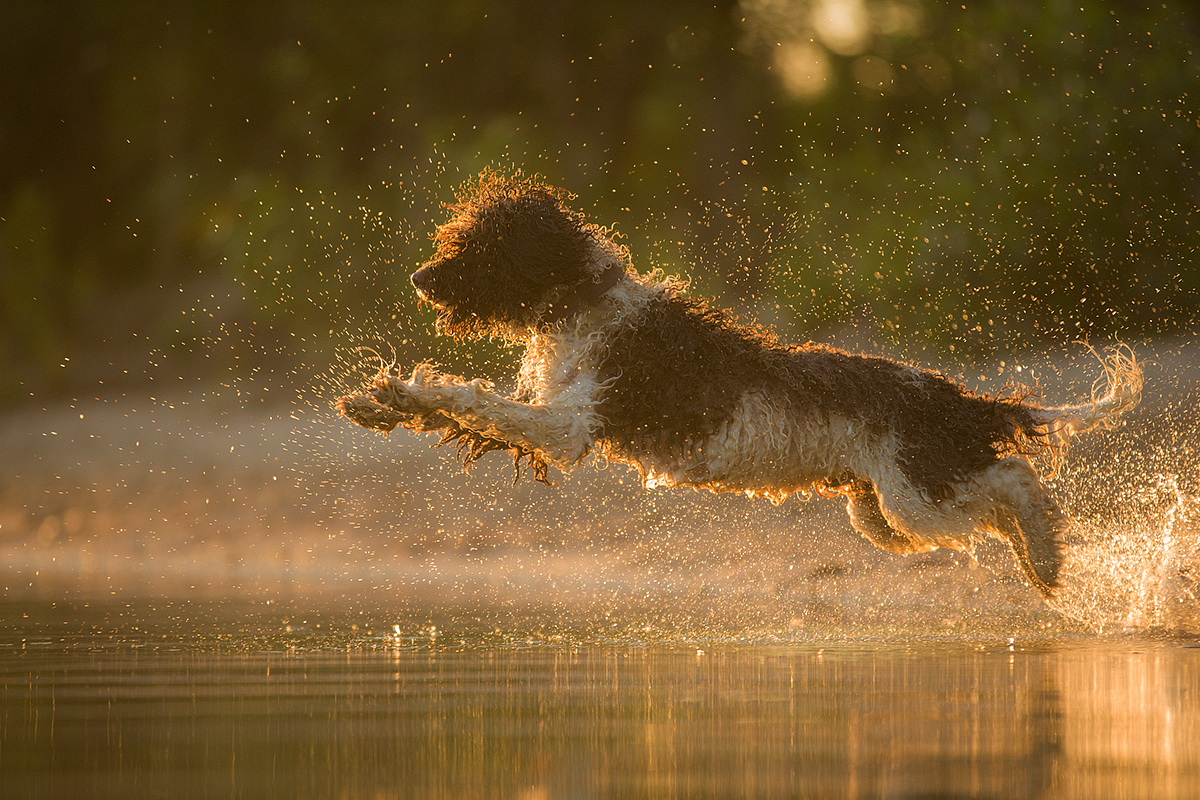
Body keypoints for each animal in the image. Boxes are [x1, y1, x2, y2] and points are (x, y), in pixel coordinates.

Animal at [338, 170, 1142, 599]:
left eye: (480, 249)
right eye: (458, 241)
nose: (419, 278)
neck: (585, 300)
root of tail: (957, 396)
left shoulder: (569, 428)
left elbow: (475, 400)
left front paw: (407, 390)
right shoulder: (548, 418)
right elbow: (469, 415)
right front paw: (384, 400)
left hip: (917, 495)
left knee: (1016, 481)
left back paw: (1047, 558)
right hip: (884, 513)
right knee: (998, 501)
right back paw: (1039, 563)